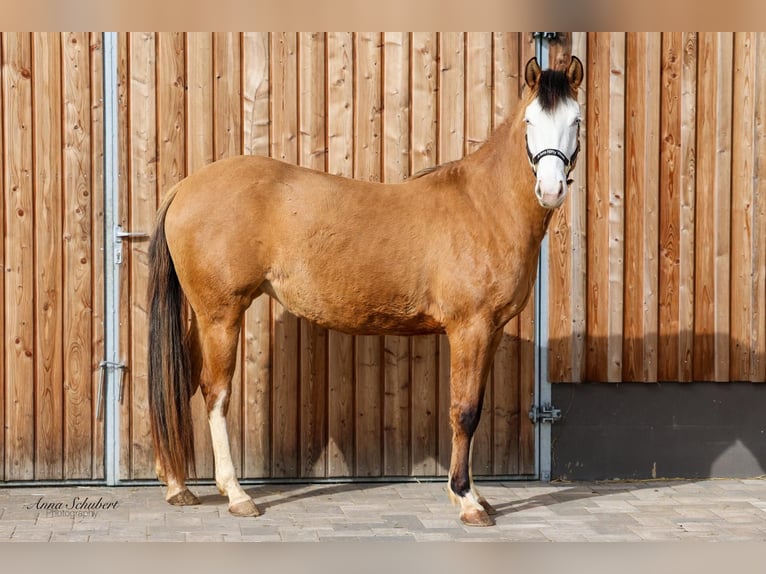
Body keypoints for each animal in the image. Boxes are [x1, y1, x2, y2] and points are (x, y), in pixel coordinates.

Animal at [147, 56, 584, 527]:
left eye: (575, 119)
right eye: (530, 121)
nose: (551, 190)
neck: (484, 206)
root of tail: (185, 187)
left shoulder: (492, 331)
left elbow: (475, 408)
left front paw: (476, 495)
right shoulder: (471, 328)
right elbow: (464, 411)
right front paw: (466, 499)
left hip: (203, 317)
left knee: (183, 384)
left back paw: (177, 487)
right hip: (221, 316)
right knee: (215, 393)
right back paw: (236, 494)